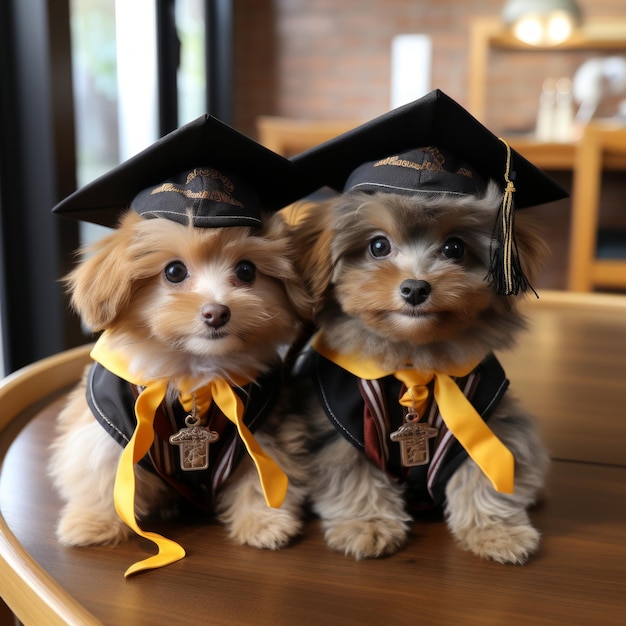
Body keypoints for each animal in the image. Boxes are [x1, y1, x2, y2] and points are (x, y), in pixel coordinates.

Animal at [48, 210, 310, 552]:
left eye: (246, 270)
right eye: (174, 271)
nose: (217, 312)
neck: (193, 374)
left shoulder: (261, 425)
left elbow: (260, 472)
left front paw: (265, 521)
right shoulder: (110, 422)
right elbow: (101, 467)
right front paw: (93, 522)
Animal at [286, 183, 544, 564]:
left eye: (454, 248)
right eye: (378, 246)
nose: (416, 288)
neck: (414, 363)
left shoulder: (490, 420)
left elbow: (485, 475)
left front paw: (496, 531)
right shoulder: (341, 430)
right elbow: (355, 478)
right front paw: (368, 525)